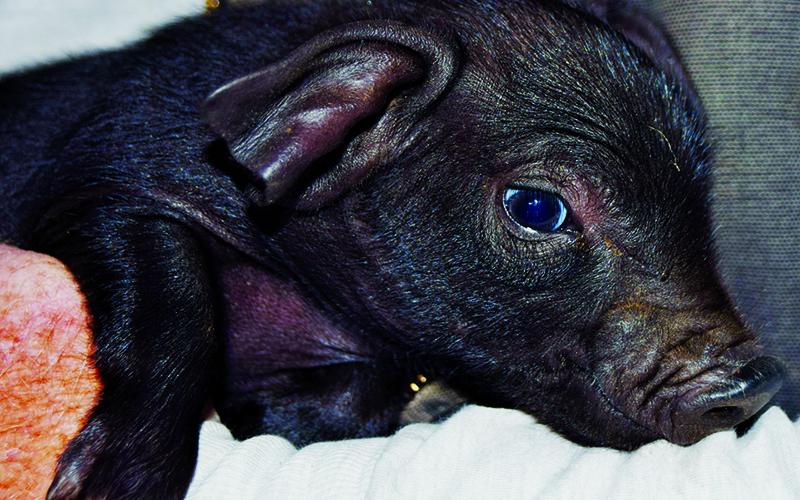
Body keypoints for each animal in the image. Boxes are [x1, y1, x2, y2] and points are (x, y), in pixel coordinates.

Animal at [0, 0, 785, 498]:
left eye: (697, 201)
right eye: (537, 207)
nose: (757, 382)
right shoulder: (100, 176)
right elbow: (177, 298)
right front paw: (102, 489)